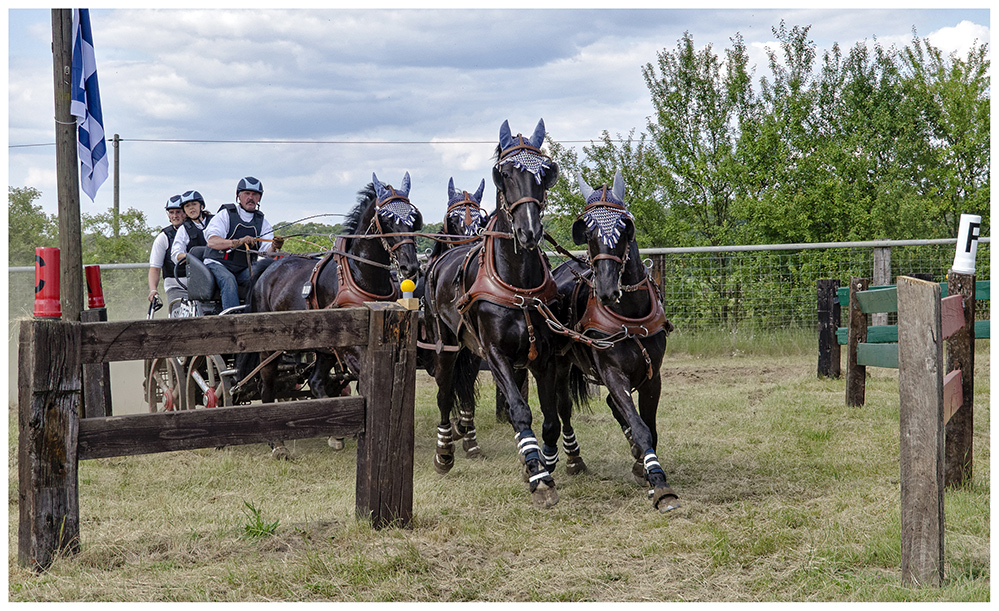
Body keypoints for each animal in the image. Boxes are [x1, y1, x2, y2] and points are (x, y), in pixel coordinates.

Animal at [240, 172, 424, 460]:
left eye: (414, 219)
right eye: (386, 219)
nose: (410, 266)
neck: (361, 275)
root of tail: (270, 266)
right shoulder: (350, 347)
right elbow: (361, 379)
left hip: (324, 348)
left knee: (315, 381)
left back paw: (333, 434)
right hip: (271, 346)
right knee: (267, 383)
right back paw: (276, 442)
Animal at [420, 118, 564, 506]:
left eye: (545, 172)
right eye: (504, 173)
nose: (529, 231)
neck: (518, 283)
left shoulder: (543, 357)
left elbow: (550, 419)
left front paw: (541, 462)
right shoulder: (496, 353)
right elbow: (519, 409)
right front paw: (538, 476)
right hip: (447, 347)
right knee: (444, 394)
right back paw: (444, 452)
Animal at [552, 171, 684, 512]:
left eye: (625, 227)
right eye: (586, 230)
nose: (608, 289)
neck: (630, 315)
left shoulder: (653, 376)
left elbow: (648, 425)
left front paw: (645, 467)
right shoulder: (612, 372)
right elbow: (639, 426)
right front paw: (659, 483)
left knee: (615, 407)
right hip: (560, 365)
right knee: (563, 407)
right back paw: (573, 459)